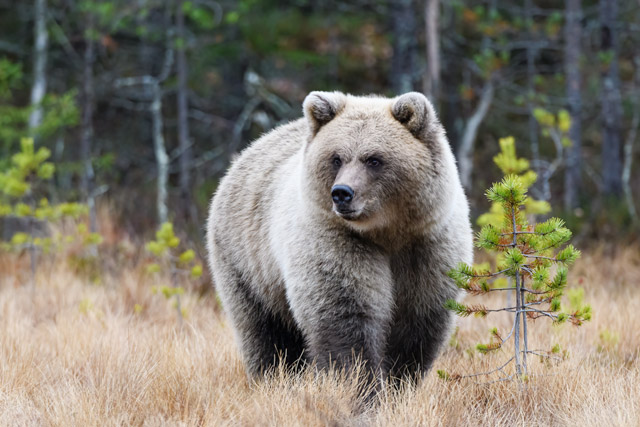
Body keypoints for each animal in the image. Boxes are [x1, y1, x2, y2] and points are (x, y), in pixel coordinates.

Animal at [206, 91, 473, 383]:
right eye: (336, 158)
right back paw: (274, 376)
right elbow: (345, 313)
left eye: (374, 159)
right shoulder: (334, 239)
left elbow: (417, 325)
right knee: (265, 330)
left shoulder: (428, 246)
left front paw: (398, 380)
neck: (387, 233)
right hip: (247, 261)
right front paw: (358, 382)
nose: (342, 193)